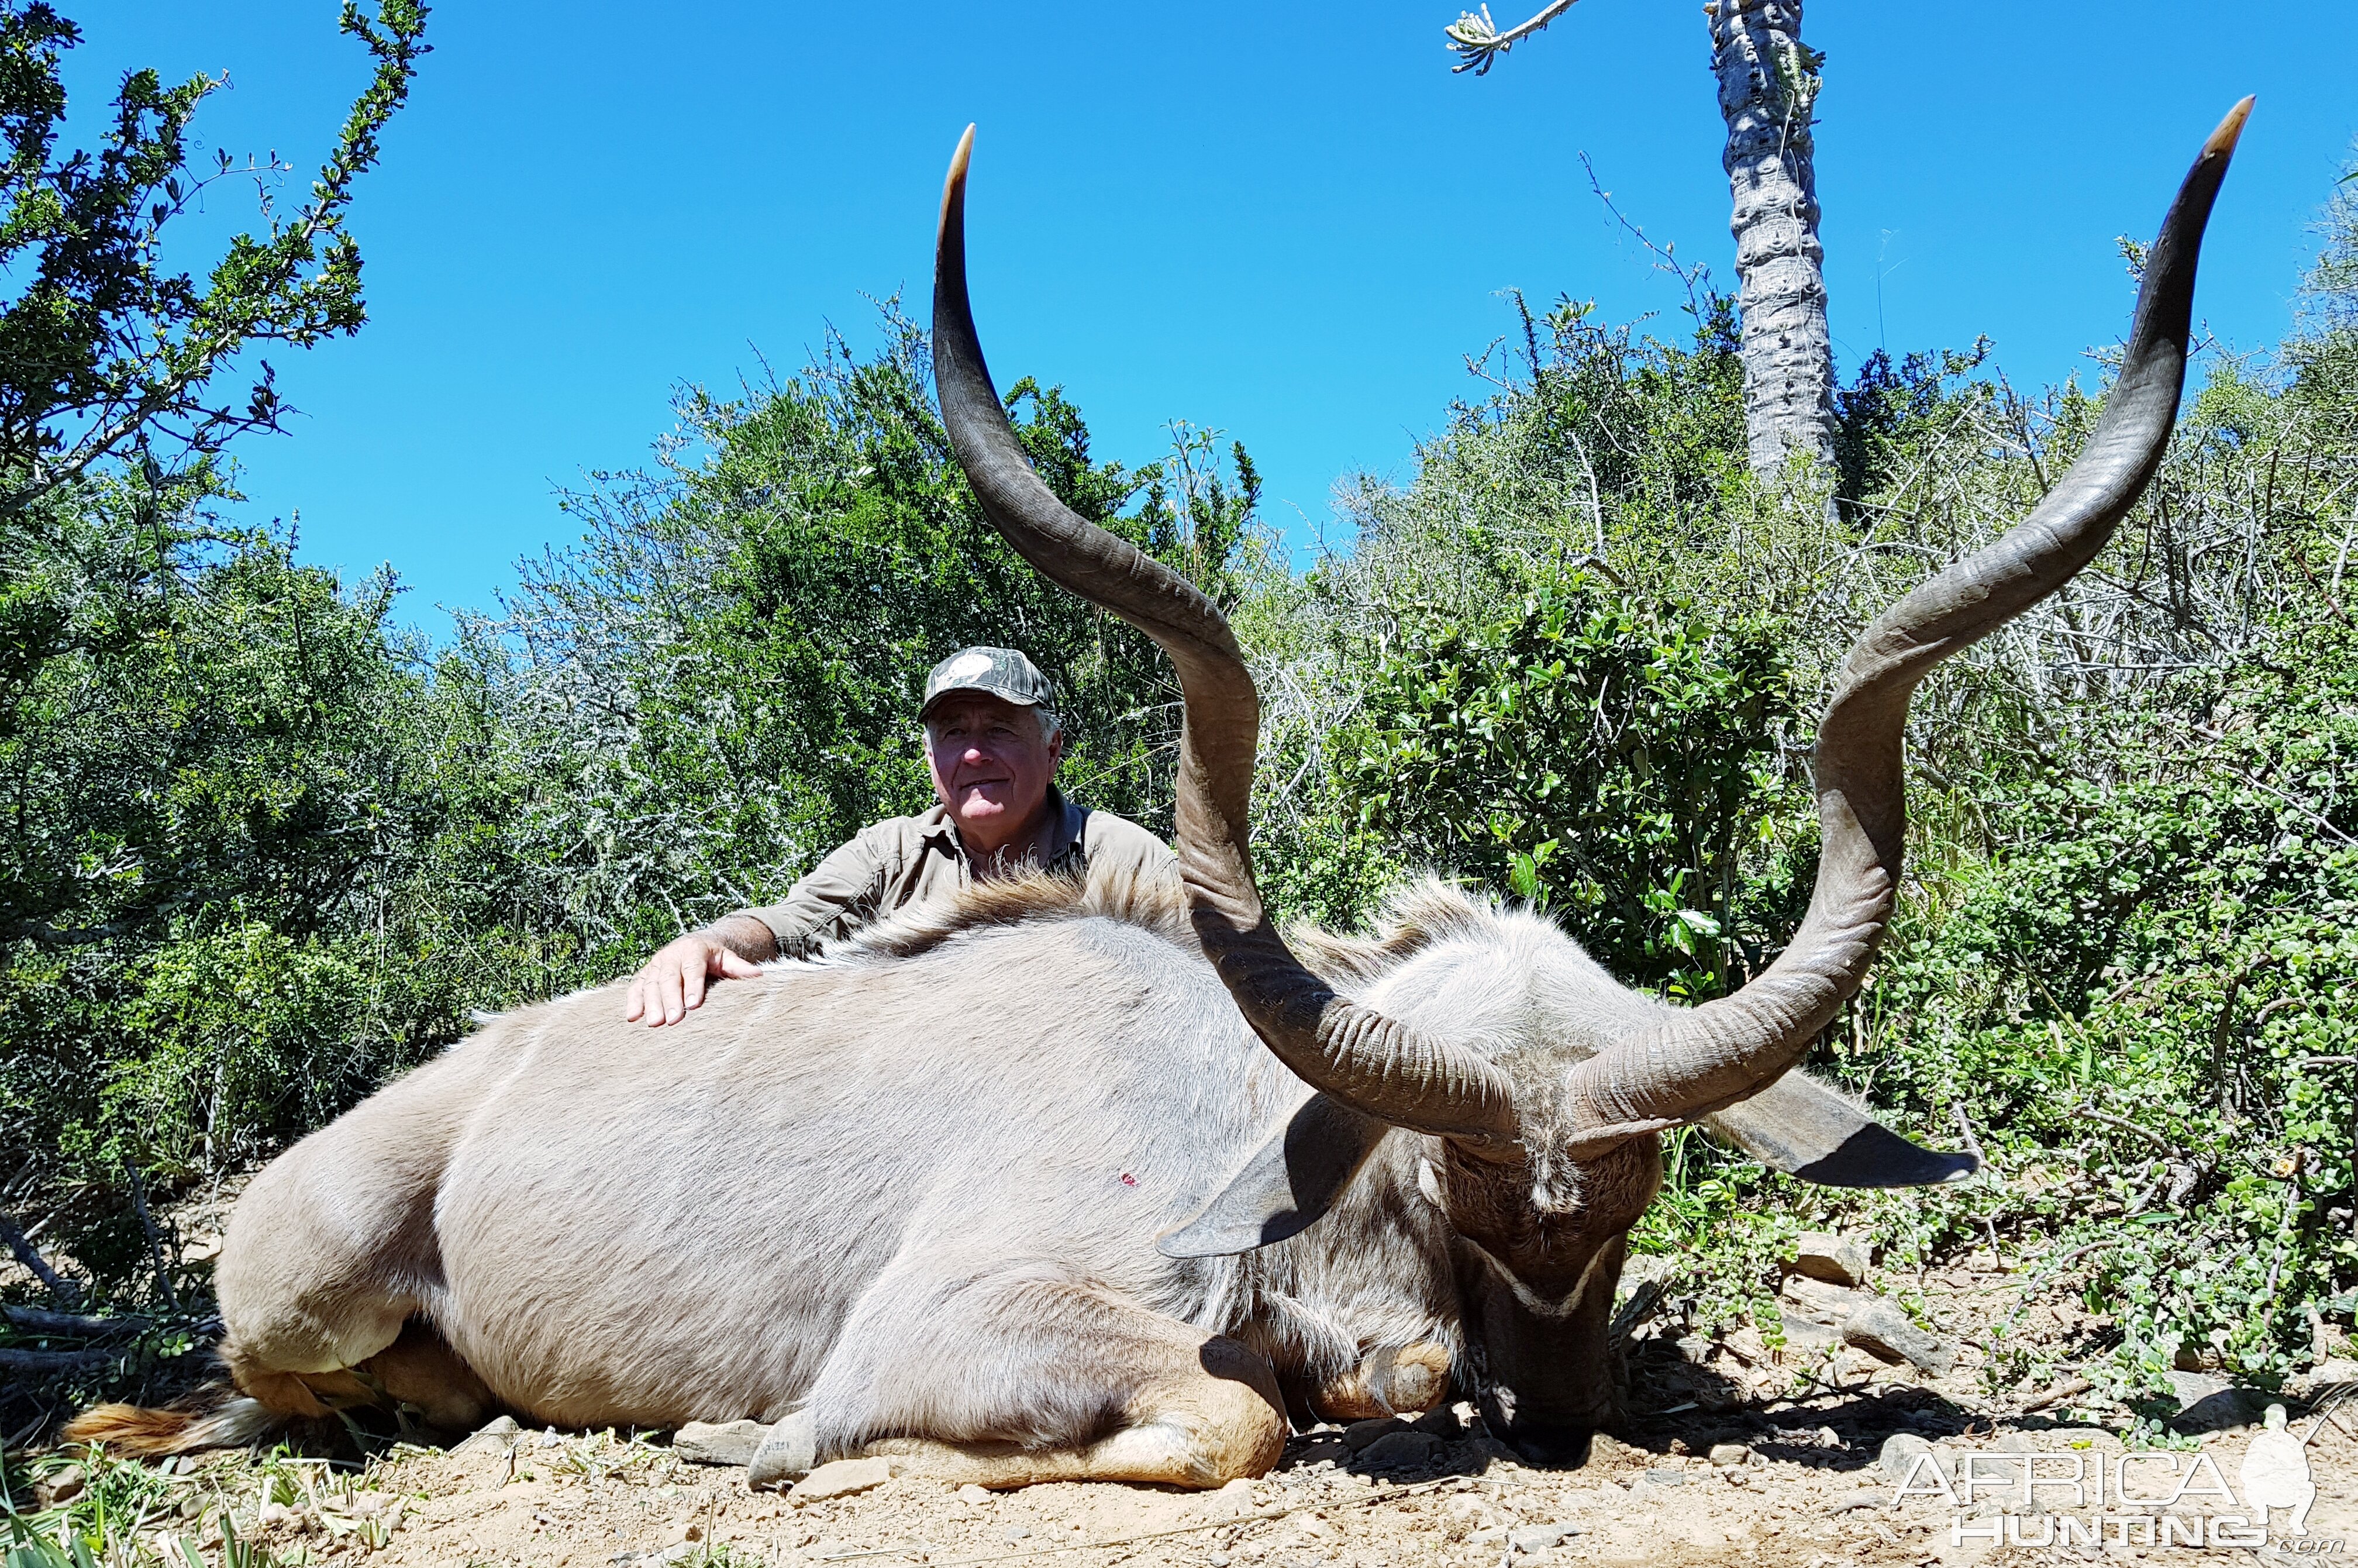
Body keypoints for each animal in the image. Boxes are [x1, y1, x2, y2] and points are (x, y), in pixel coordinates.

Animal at [68, 107, 2245, 1480]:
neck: (1241, 1107)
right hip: (306, 1292)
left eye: (1631, 1205)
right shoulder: (963, 1322)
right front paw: (764, 1444)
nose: (1561, 1415)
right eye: (1457, 1188)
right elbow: (1224, 1420)